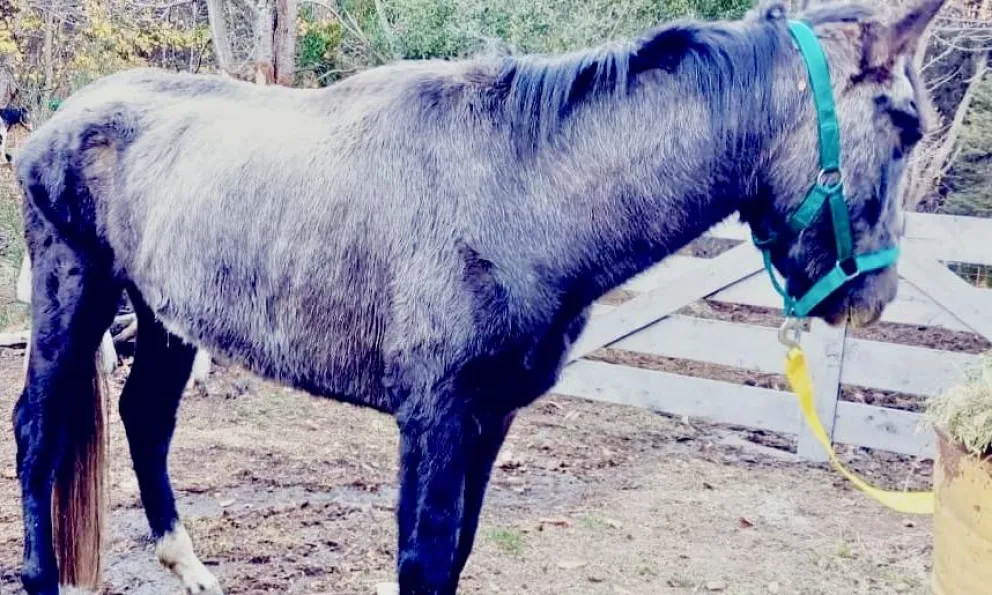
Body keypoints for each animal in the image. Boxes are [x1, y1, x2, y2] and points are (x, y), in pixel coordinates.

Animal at [11, 1, 944, 593]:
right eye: (907, 125)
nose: (874, 295)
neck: (518, 188)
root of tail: (64, 116)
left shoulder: (490, 420)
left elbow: (456, 556)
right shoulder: (434, 420)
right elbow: (423, 561)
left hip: (166, 317)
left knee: (146, 417)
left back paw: (187, 564)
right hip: (76, 290)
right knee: (36, 431)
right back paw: (43, 575)